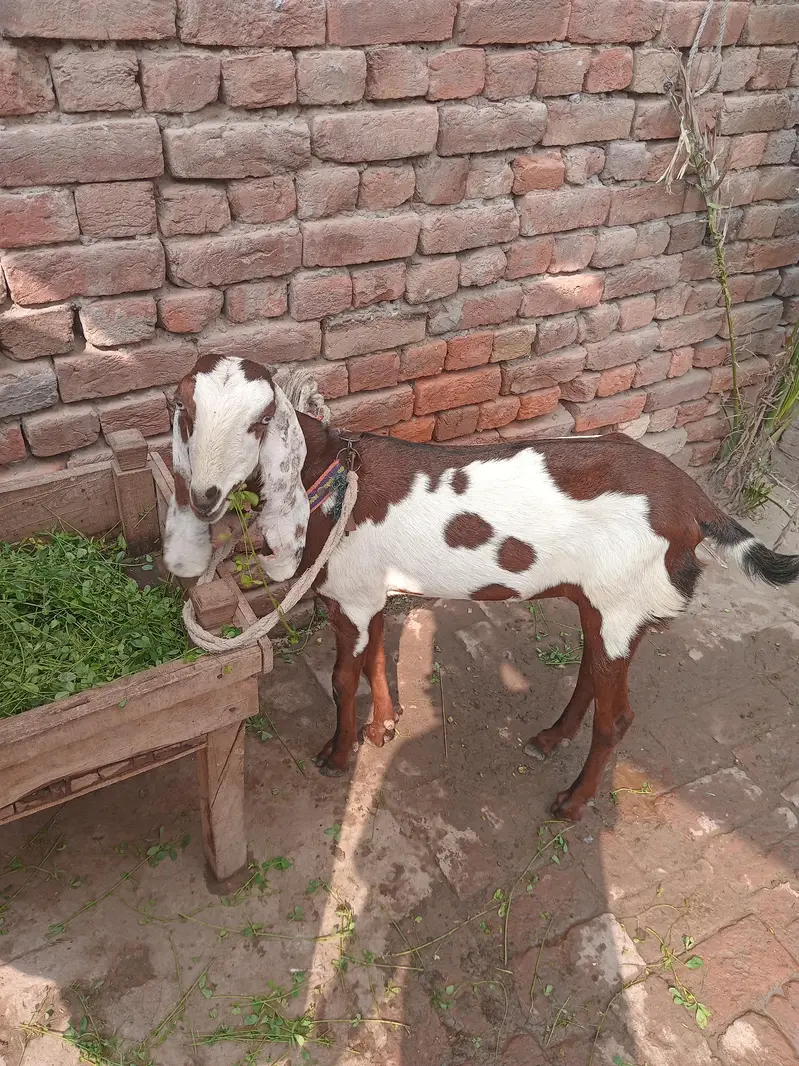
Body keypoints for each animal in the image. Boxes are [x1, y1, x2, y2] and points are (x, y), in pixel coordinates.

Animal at [164, 355, 799, 820]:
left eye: (259, 422)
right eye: (185, 413)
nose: (204, 497)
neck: (331, 479)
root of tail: (693, 503)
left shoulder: (351, 596)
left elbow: (346, 677)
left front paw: (338, 755)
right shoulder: (370, 590)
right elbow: (376, 661)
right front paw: (384, 726)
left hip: (622, 602)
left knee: (616, 717)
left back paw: (571, 803)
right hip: (611, 605)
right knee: (592, 671)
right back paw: (550, 738)